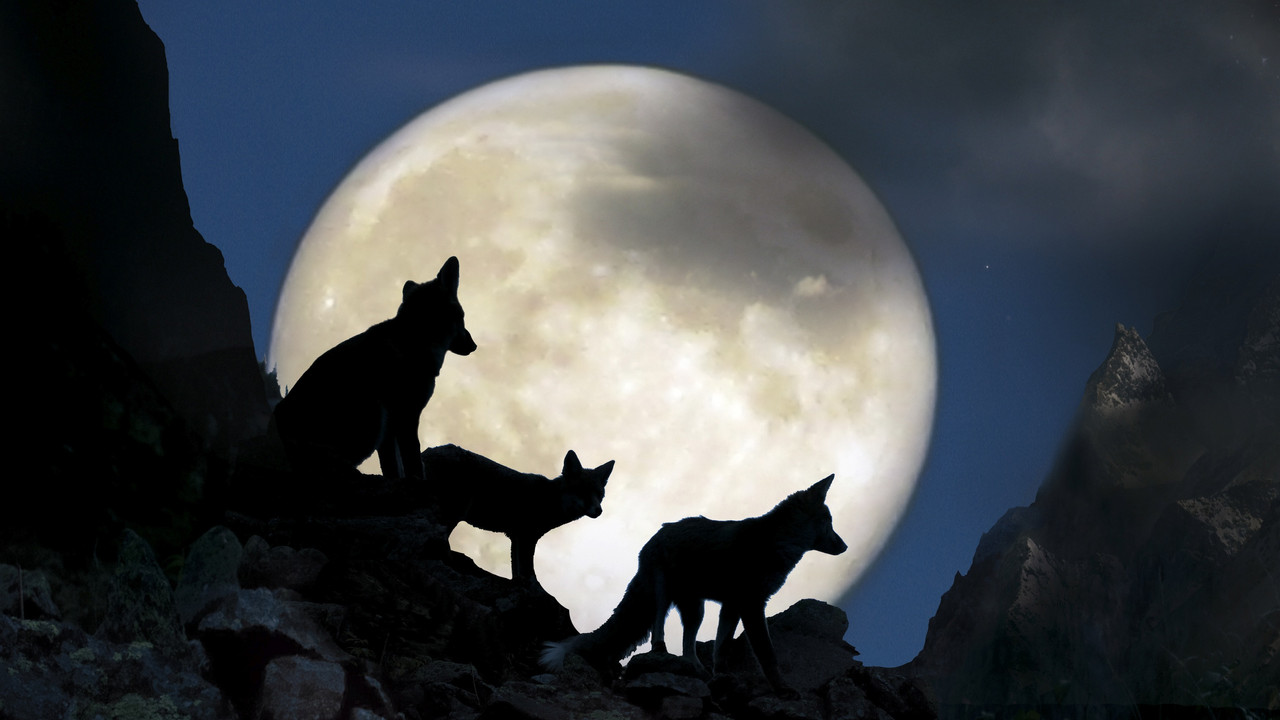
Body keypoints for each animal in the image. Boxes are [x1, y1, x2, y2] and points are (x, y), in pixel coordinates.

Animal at [272, 256, 476, 481]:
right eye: (463, 316)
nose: (474, 345)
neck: (414, 338)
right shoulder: (406, 417)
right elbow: (412, 462)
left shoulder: (391, 429)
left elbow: (393, 468)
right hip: (374, 417)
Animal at [422, 444, 614, 583]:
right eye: (583, 492)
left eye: (599, 495)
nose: (599, 511)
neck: (548, 499)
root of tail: (430, 449)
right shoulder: (526, 537)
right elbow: (530, 572)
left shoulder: (516, 537)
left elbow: (517, 571)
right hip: (454, 511)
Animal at [540, 475, 846, 697]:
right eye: (829, 522)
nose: (844, 546)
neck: (775, 546)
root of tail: (657, 532)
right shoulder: (751, 604)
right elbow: (768, 655)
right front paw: (782, 690)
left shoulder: (732, 606)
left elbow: (721, 648)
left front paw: (722, 676)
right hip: (662, 591)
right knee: (658, 624)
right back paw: (662, 650)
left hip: (695, 610)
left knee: (688, 647)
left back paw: (697, 670)